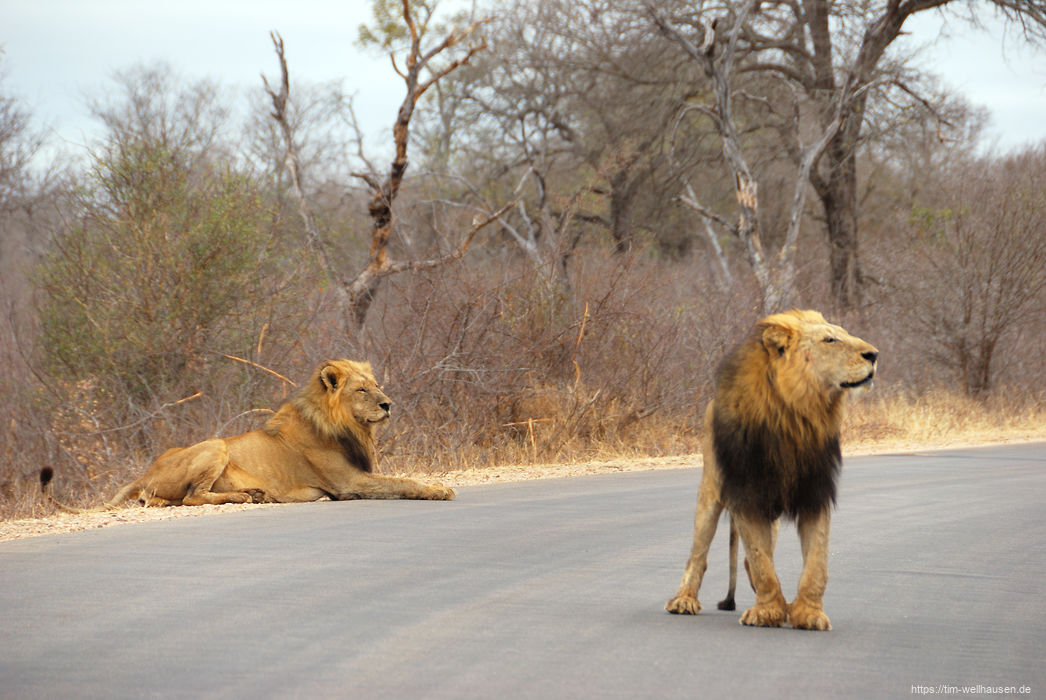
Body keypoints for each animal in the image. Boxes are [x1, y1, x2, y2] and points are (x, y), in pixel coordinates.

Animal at [42, 359, 456, 508]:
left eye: (377, 385)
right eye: (362, 390)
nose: (388, 404)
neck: (349, 427)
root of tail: (144, 472)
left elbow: (403, 477)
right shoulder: (348, 482)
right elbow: (404, 482)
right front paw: (439, 490)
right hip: (214, 446)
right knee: (192, 497)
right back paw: (245, 496)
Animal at [665, 309, 878, 627]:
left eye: (844, 333)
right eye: (829, 340)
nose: (874, 355)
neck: (796, 416)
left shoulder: (815, 493)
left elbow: (816, 563)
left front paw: (807, 613)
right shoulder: (747, 496)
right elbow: (760, 560)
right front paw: (767, 612)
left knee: (747, 559)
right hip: (711, 492)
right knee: (699, 554)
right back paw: (683, 600)